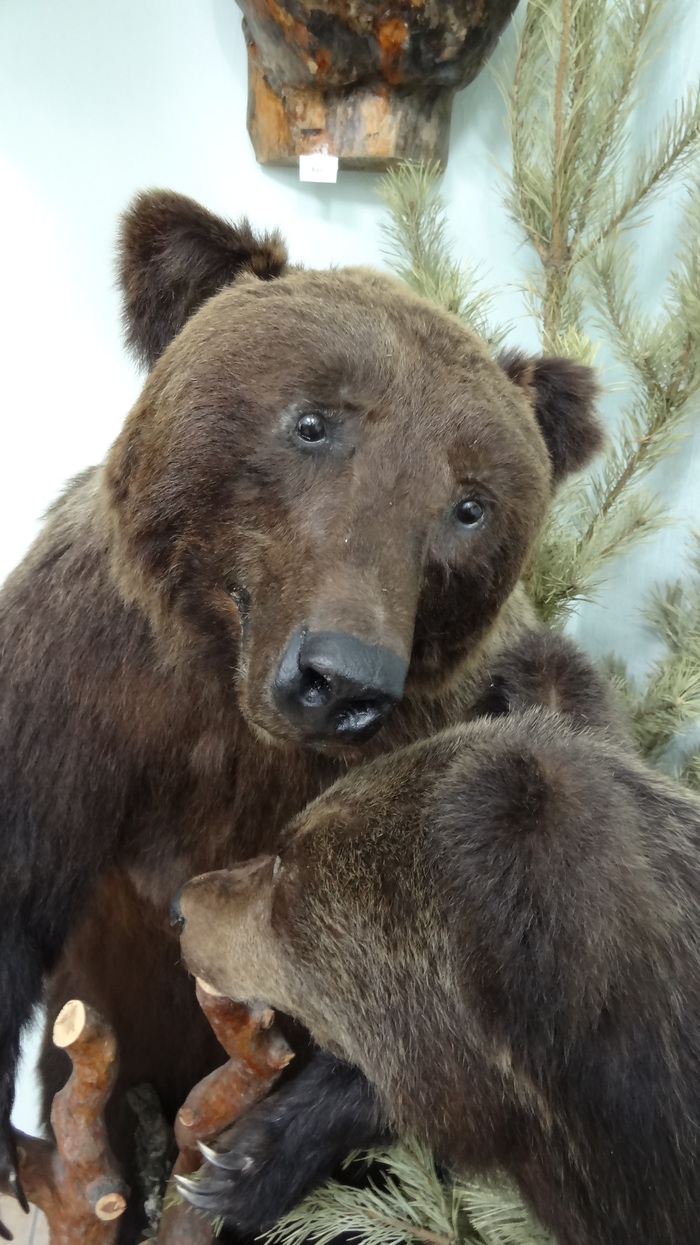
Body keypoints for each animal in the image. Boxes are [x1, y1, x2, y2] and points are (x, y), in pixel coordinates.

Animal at [0, 189, 600, 1240]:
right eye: (313, 422)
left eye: (471, 503)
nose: (341, 677)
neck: (233, 711)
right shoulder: (77, 682)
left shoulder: (462, 756)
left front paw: (245, 1160)